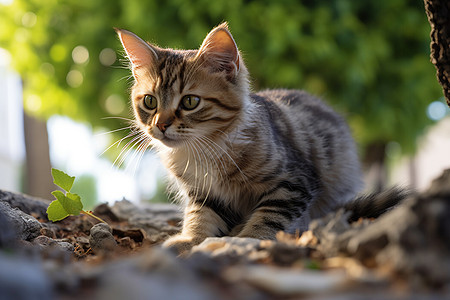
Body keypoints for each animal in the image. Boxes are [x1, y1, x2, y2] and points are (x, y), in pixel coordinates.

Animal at [117, 22, 408, 253]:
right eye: (150, 102)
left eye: (190, 102)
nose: (161, 125)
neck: (205, 149)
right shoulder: (204, 194)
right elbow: (200, 217)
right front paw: (191, 239)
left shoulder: (293, 182)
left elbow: (269, 216)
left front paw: (246, 239)